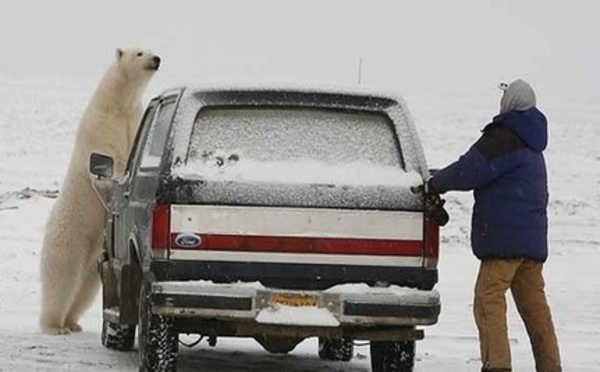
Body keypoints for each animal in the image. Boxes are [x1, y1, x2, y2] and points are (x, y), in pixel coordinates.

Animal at [39, 48, 162, 336]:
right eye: (139, 52)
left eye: (151, 50)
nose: (156, 59)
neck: (119, 103)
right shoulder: (101, 122)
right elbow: (107, 155)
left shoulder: (133, 121)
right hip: (70, 234)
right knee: (63, 276)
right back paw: (54, 325)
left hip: (95, 249)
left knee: (87, 285)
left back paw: (72, 323)